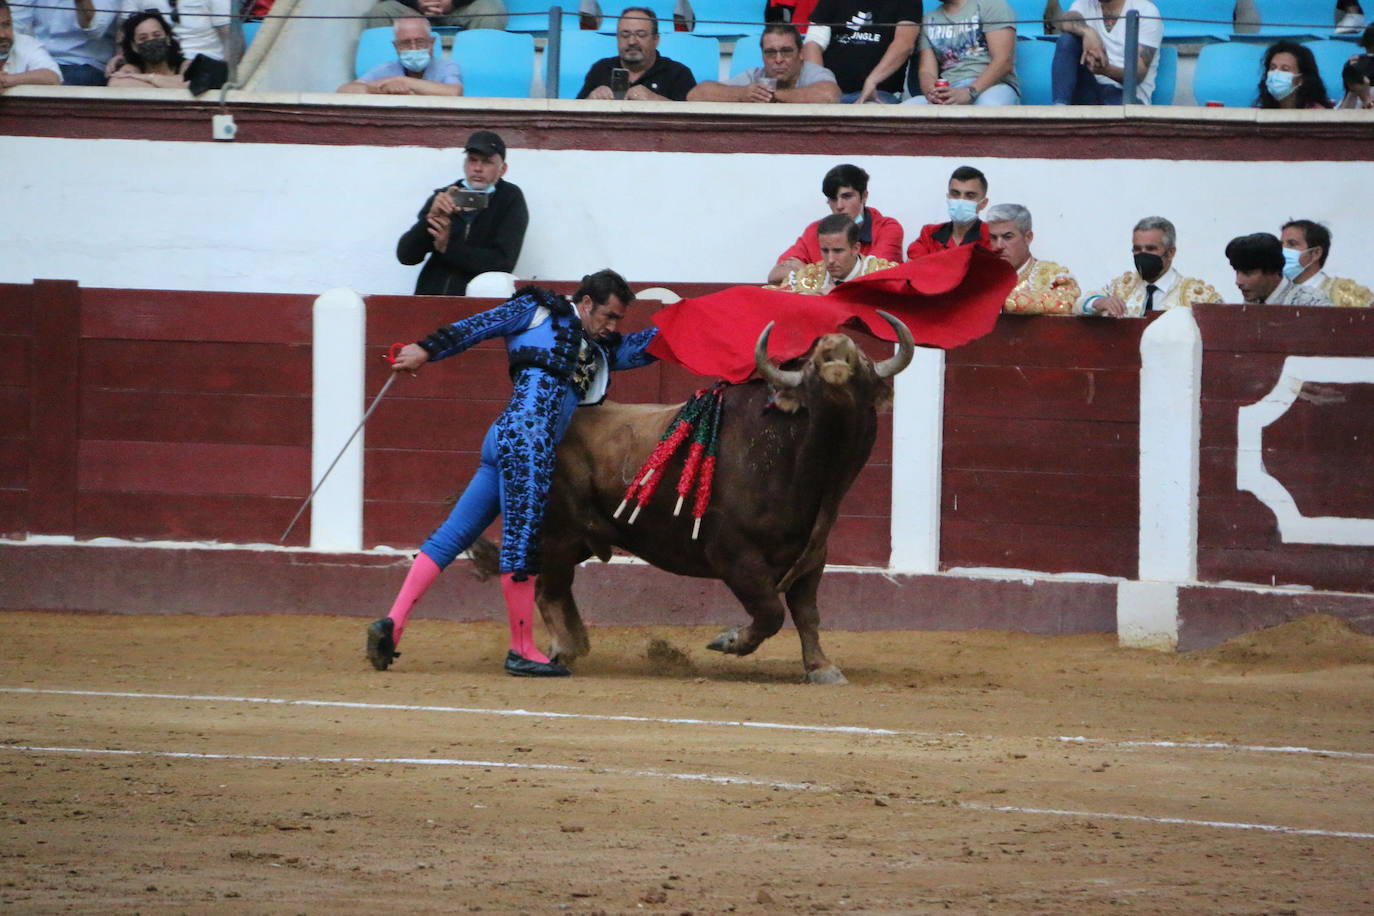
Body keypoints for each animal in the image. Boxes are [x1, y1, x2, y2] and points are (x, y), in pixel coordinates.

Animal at [472, 313, 912, 681]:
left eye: (864, 361)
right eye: (807, 368)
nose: (833, 344)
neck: (809, 473)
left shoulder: (813, 557)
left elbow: (808, 614)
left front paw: (822, 668)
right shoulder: (735, 558)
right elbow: (770, 611)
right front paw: (729, 640)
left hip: (581, 536)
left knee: (555, 586)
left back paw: (574, 646)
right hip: (555, 531)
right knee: (545, 586)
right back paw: (561, 650)